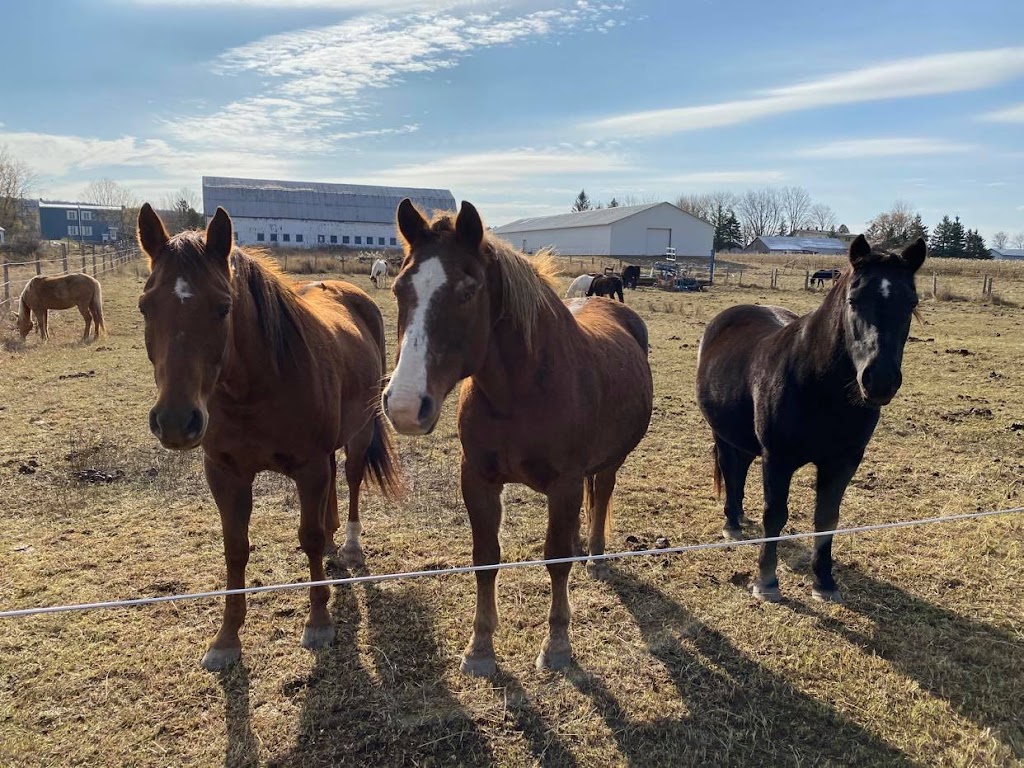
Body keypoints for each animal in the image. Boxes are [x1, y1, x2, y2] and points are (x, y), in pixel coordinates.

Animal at [138, 201, 401, 671]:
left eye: (223, 308)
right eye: (146, 307)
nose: (175, 421)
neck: (256, 386)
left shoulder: (308, 468)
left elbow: (307, 538)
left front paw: (318, 622)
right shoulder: (225, 475)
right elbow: (235, 548)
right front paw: (226, 639)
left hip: (359, 432)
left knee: (351, 478)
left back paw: (349, 545)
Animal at [380, 199, 651, 679]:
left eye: (468, 292)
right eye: (399, 290)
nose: (406, 406)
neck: (521, 391)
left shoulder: (563, 484)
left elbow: (555, 559)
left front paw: (557, 645)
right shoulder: (478, 480)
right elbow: (486, 557)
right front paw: (480, 648)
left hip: (610, 461)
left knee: (602, 494)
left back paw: (596, 554)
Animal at [696, 237, 929, 606]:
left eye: (911, 302)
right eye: (853, 300)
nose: (880, 380)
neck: (818, 385)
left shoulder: (843, 462)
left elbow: (827, 518)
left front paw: (824, 581)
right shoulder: (777, 459)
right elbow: (775, 515)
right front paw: (767, 582)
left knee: (740, 467)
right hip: (723, 433)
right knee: (731, 468)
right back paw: (731, 523)